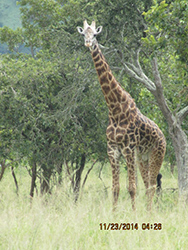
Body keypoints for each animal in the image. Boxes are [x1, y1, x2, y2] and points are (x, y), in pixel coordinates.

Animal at [76, 20, 166, 210]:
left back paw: (149, 213)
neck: (115, 109)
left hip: (157, 154)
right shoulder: (112, 149)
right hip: (142, 157)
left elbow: (131, 187)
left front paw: (134, 213)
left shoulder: (128, 148)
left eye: (95, 34)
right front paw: (114, 213)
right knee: (147, 185)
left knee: (152, 186)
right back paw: (149, 212)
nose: (88, 43)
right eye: (83, 34)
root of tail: (163, 135)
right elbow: (115, 188)